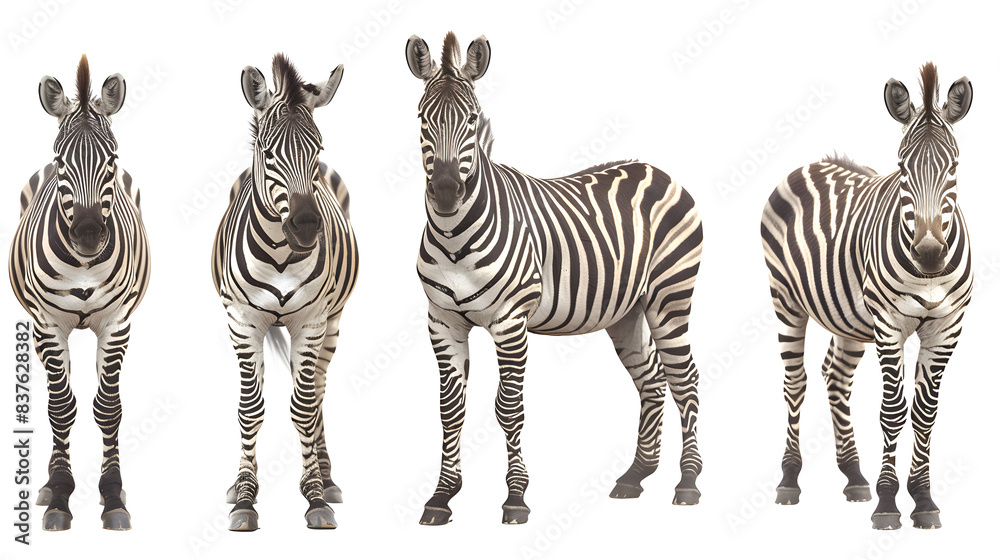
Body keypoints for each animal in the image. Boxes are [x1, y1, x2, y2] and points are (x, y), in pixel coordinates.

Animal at [8, 55, 148, 531]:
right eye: (61, 160)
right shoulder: (49, 324)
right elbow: (60, 408)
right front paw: (60, 496)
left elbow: (108, 408)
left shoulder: (118, 322)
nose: (88, 236)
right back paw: (48, 483)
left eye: (112, 159)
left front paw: (113, 496)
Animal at [211, 54, 358, 531]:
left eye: (317, 150)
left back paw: (326, 477)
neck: (278, 253)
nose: (307, 226)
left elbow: (305, 406)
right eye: (268, 151)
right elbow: (250, 408)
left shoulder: (311, 321)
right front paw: (244, 496)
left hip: (332, 323)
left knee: (317, 388)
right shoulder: (242, 321)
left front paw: (314, 496)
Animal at [405, 33, 704, 525]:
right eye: (422, 119)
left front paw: (515, 497)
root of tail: (656, 169)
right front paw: (441, 496)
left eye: (471, 118)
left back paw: (688, 482)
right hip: (627, 311)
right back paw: (635, 476)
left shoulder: (511, 322)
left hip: (670, 298)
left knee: (686, 379)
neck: (453, 236)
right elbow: (451, 410)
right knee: (652, 378)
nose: (447, 192)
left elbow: (508, 408)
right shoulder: (442, 320)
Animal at [761, 63, 973, 530]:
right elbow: (892, 412)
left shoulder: (945, 329)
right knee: (796, 382)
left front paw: (923, 499)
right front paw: (889, 501)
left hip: (849, 318)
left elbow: (925, 413)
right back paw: (789, 479)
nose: (929, 254)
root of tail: (813, 162)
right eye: (902, 167)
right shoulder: (889, 326)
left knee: (835, 376)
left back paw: (854, 475)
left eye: (954, 166)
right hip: (786, 300)